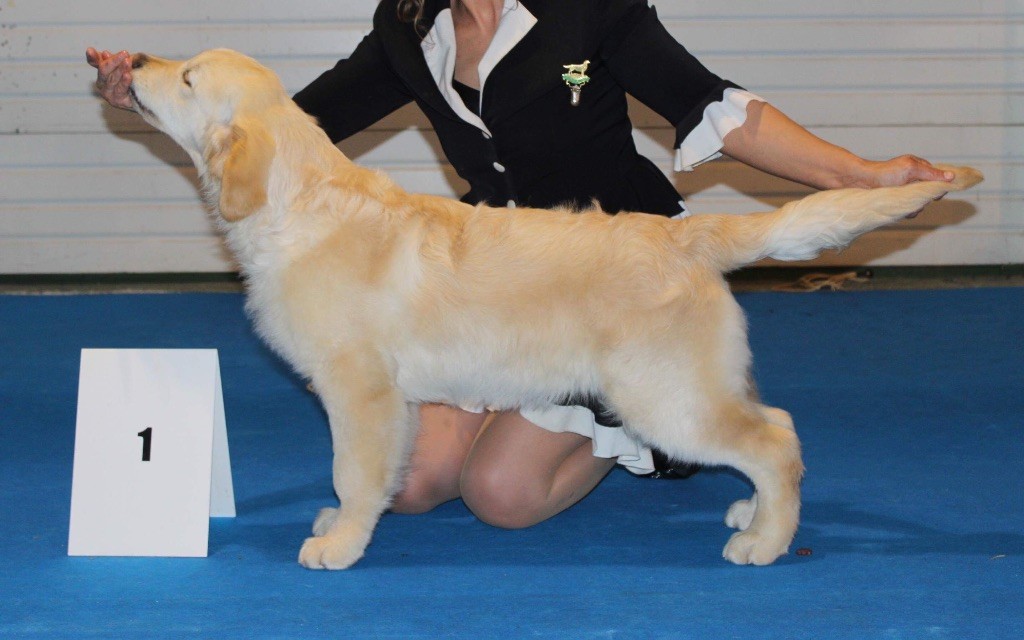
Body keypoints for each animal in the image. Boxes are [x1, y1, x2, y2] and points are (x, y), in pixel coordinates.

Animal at [119, 49, 983, 569]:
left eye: (188, 78)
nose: (133, 64)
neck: (296, 204)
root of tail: (689, 234)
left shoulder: (357, 389)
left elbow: (351, 470)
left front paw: (341, 545)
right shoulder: (389, 400)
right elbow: (372, 473)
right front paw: (342, 526)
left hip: (664, 397)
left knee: (774, 439)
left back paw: (767, 543)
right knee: (777, 427)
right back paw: (753, 516)